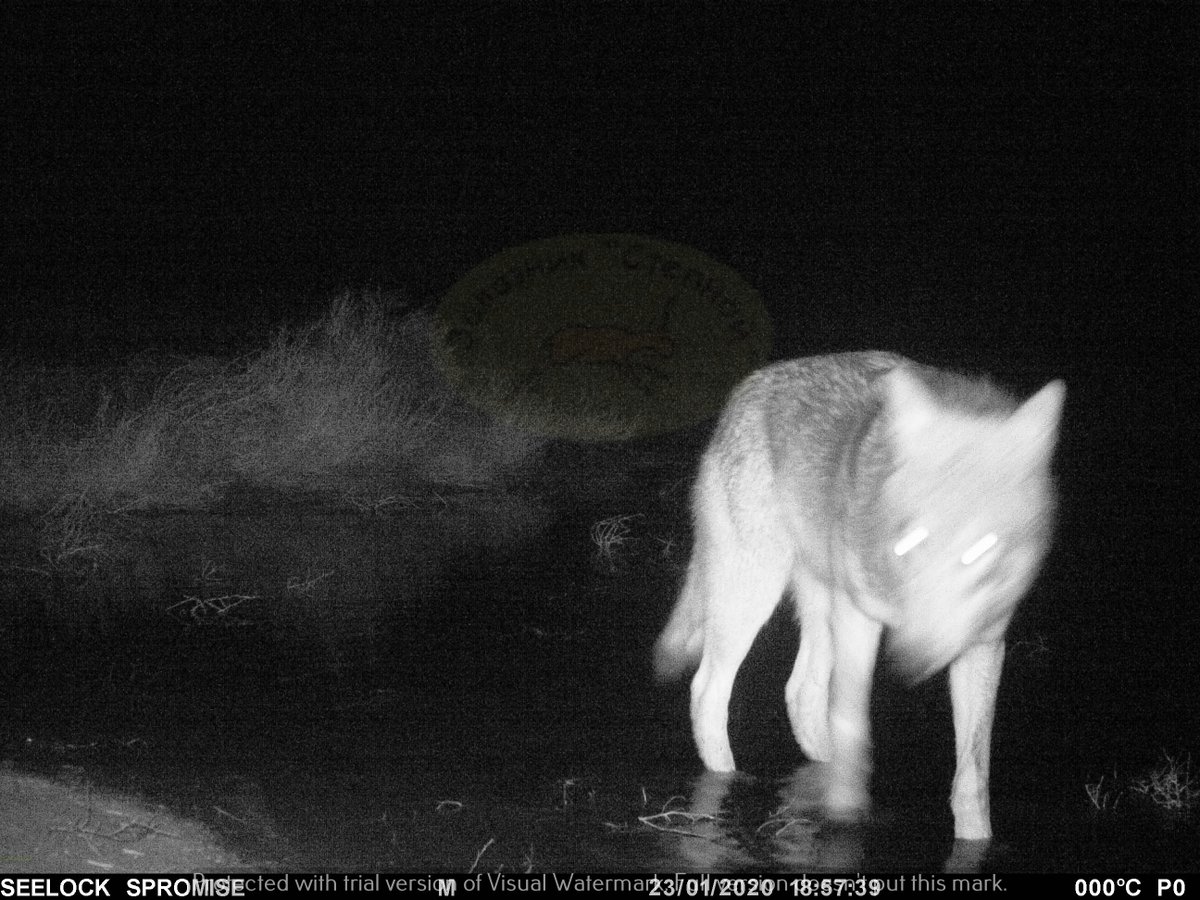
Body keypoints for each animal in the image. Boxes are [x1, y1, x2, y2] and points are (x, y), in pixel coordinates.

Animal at [654, 352, 1064, 840]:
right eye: (911, 541)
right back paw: (725, 780)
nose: (909, 662)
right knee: (708, 691)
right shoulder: (859, 616)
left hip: (816, 609)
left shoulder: (983, 644)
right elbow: (852, 726)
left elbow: (973, 773)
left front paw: (975, 839)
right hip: (753, 597)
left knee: (800, 692)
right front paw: (845, 815)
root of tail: (747, 388)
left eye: (981, 550)